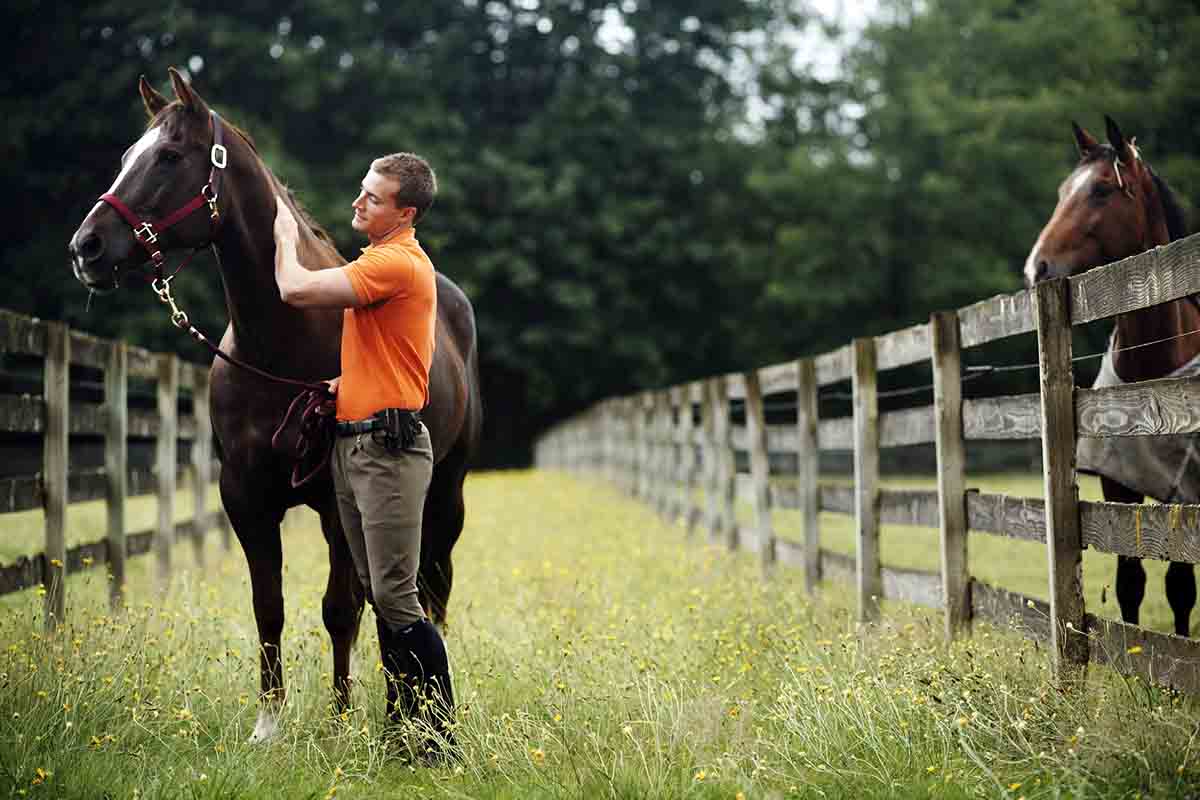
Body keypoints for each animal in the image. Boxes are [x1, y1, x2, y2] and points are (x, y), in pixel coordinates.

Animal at [67, 68, 482, 741]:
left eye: (170, 156)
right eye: (128, 155)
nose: (87, 248)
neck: (282, 342)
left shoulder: (337, 502)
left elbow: (338, 608)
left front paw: (338, 720)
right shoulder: (245, 497)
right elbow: (270, 605)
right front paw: (269, 722)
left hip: (446, 490)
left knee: (429, 587)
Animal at [1024, 116, 1197, 636]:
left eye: (1102, 190)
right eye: (1063, 191)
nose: (1036, 268)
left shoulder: (1182, 489)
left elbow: (1181, 585)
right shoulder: (1118, 485)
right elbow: (1130, 582)